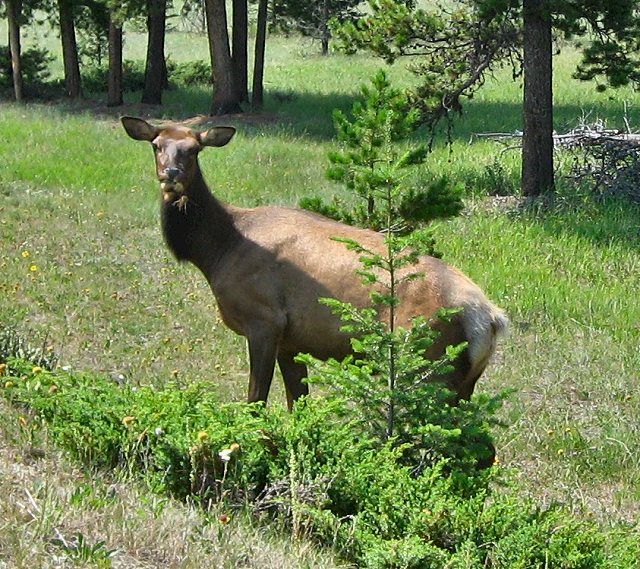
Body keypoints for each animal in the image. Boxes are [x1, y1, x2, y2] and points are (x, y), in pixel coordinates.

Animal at [121, 116, 508, 410]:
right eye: (157, 144)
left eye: (194, 149)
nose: (171, 174)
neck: (218, 251)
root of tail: (489, 317)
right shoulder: (291, 341)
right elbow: (299, 405)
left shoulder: (264, 320)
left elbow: (256, 403)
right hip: (461, 381)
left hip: (429, 362)